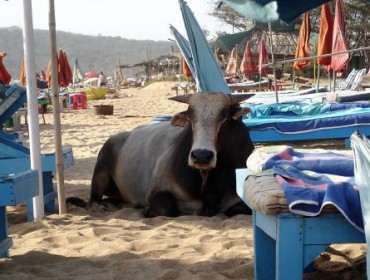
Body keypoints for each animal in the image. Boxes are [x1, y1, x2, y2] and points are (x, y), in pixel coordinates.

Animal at [69, 92, 254, 217]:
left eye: (224, 117)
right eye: (190, 117)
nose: (201, 155)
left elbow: (239, 210)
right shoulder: (157, 191)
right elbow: (168, 209)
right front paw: (147, 210)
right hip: (100, 171)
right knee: (93, 201)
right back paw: (100, 206)